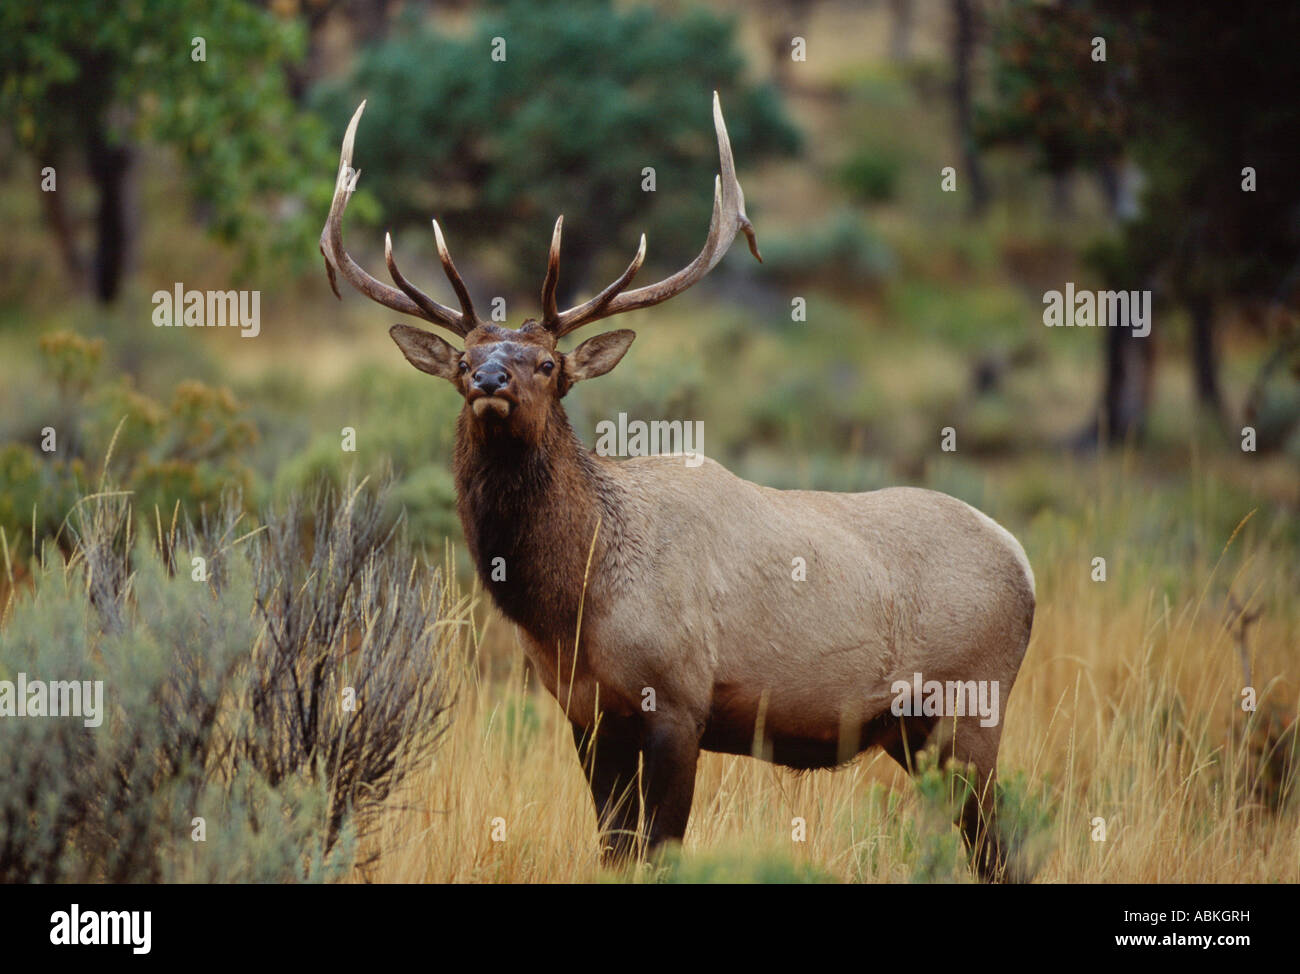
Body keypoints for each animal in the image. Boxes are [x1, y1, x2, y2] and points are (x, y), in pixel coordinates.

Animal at [319, 94, 1029, 879]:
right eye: (464, 361)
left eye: (547, 363)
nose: (490, 381)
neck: (574, 604)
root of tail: (1023, 560)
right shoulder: (587, 715)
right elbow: (614, 849)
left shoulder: (680, 702)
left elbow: (660, 850)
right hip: (913, 733)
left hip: (970, 709)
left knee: (999, 842)